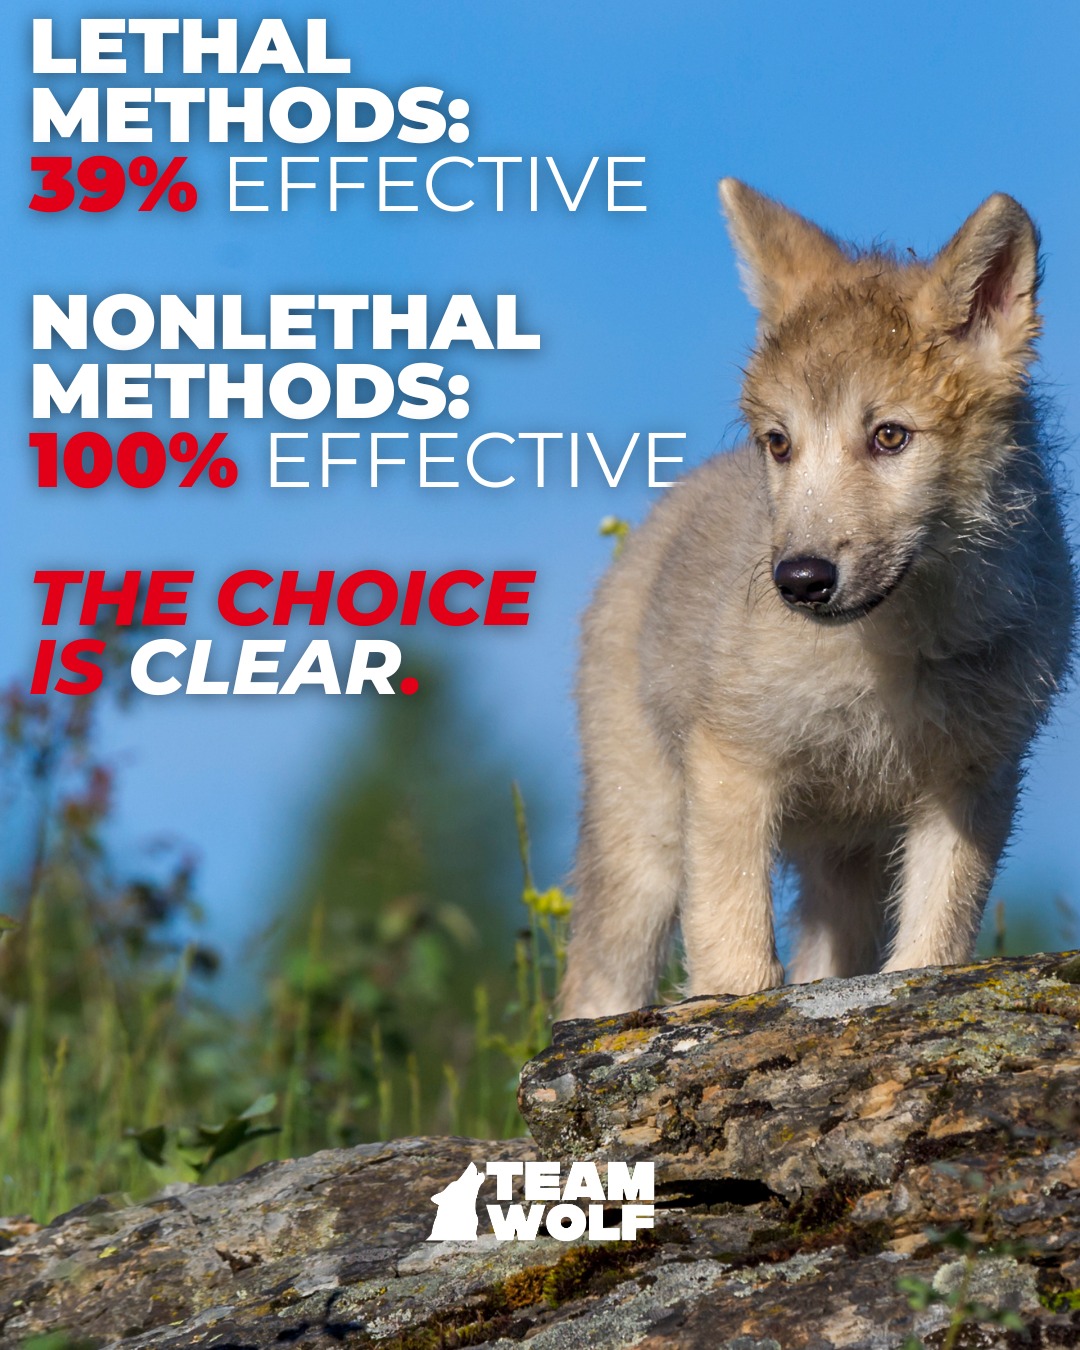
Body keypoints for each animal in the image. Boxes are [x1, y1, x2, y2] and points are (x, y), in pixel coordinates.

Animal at [560, 180, 1075, 1020]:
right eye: (780, 443)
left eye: (890, 437)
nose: (799, 579)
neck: (897, 651)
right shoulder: (733, 766)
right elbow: (734, 956)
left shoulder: (971, 783)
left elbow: (931, 945)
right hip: (644, 846)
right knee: (595, 990)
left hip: (844, 864)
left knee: (824, 963)